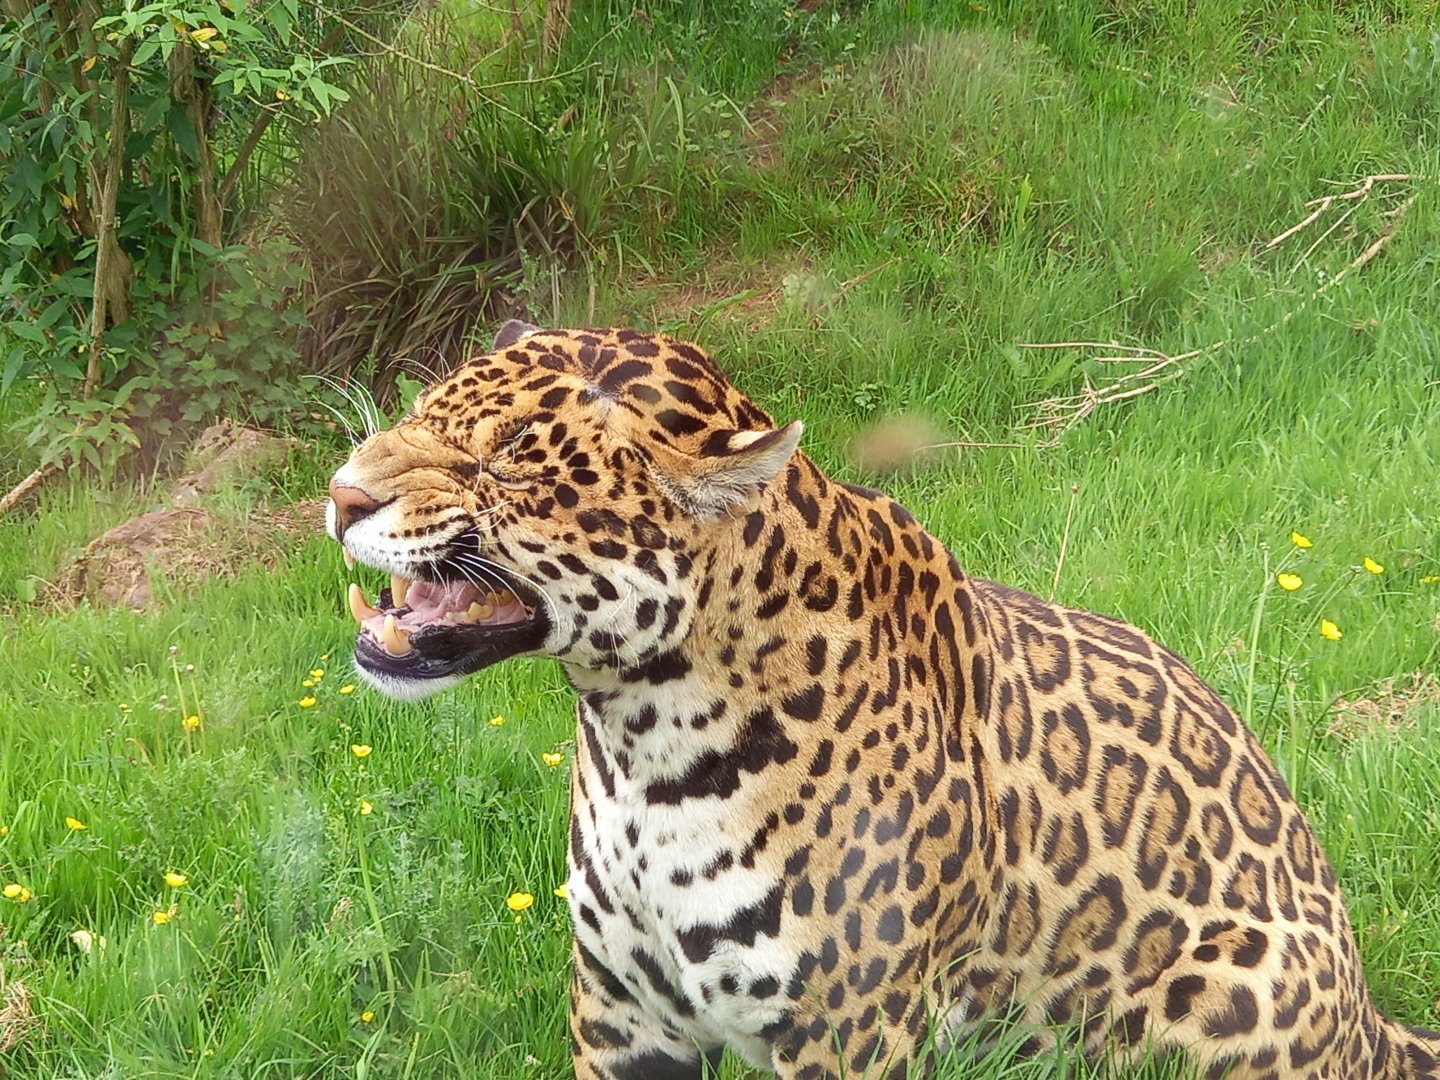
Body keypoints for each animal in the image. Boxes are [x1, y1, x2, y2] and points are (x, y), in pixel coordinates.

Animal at [326, 322, 1440, 1080]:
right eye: (424, 409)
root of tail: (1371, 1022)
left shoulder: (849, 1032)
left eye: (512, 456)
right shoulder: (618, 1016)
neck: (638, 737)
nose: (340, 495)